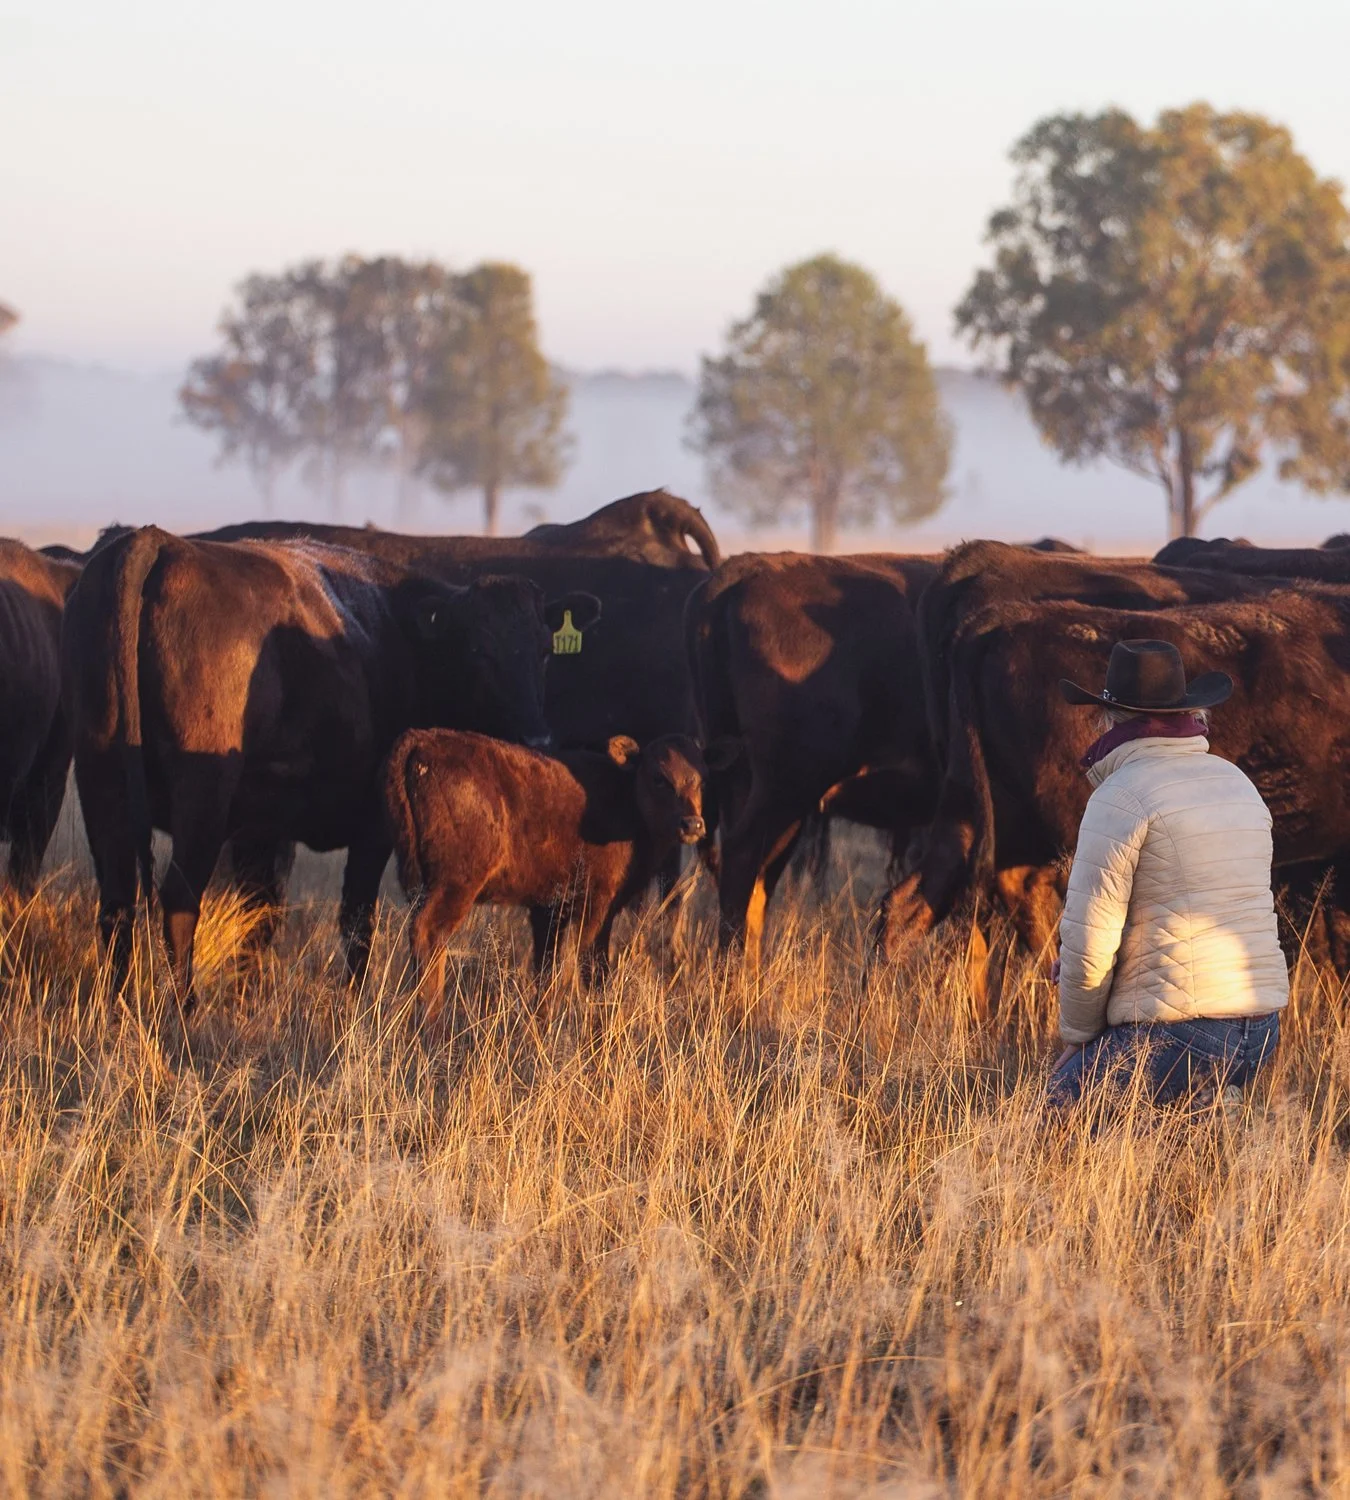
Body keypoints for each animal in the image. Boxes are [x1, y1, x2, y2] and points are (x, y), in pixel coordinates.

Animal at [62, 525, 599, 1007]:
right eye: (477, 651)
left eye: (544, 652)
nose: (537, 739)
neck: (406, 641)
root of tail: (160, 541)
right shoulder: (372, 828)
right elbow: (357, 918)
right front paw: (352, 1003)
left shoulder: (261, 830)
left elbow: (260, 916)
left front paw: (248, 1003)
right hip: (201, 797)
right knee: (178, 898)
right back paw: (183, 1008)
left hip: (101, 780)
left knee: (117, 901)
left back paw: (119, 1007)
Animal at [384, 729, 720, 997]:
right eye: (659, 778)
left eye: (703, 780)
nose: (692, 824)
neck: (625, 796)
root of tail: (421, 741)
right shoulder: (596, 907)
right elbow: (593, 971)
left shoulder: (548, 911)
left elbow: (546, 975)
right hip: (455, 886)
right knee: (429, 936)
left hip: (420, 886)